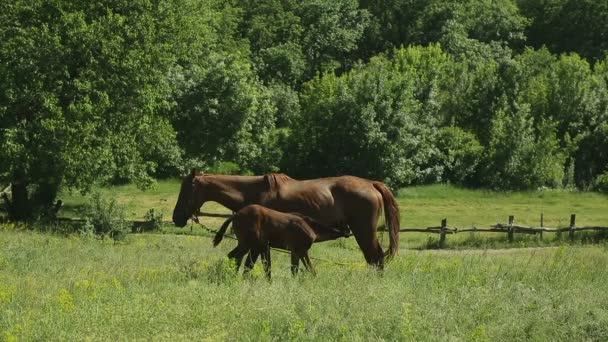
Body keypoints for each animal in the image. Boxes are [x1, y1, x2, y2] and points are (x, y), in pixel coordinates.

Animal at [172, 170, 400, 268]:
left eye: (186, 190)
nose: (176, 218)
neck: (255, 192)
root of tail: (371, 184)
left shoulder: (260, 244)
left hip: (364, 232)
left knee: (375, 259)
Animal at [213, 203, 350, 278]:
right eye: (346, 225)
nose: (349, 233)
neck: (310, 227)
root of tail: (236, 215)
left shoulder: (293, 251)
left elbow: (293, 270)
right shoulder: (302, 250)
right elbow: (311, 269)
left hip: (247, 244)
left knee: (236, 258)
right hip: (247, 244)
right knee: (235, 257)